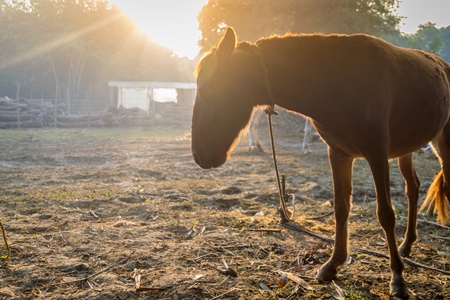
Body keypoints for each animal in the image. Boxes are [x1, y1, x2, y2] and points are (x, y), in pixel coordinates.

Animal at [192, 27, 450, 298]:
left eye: (208, 90)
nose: (199, 155)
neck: (338, 81)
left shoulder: (376, 153)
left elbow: (386, 215)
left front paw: (398, 279)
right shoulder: (338, 154)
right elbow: (341, 208)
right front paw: (333, 264)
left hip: (442, 143)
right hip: (406, 149)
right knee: (413, 187)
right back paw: (406, 245)